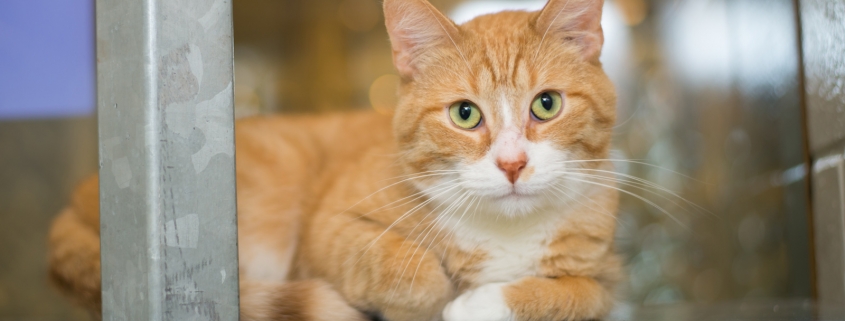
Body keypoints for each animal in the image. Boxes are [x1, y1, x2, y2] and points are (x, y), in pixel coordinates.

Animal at [49, 0, 624, 318]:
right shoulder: (328, 230)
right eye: (465, 114)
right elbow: (411, 269)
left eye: (546, 104)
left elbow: (570, 296)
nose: (511, 164)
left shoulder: (604, 280)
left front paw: (480, 302)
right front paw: (443, 298)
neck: (504, 232)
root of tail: (76, 201)